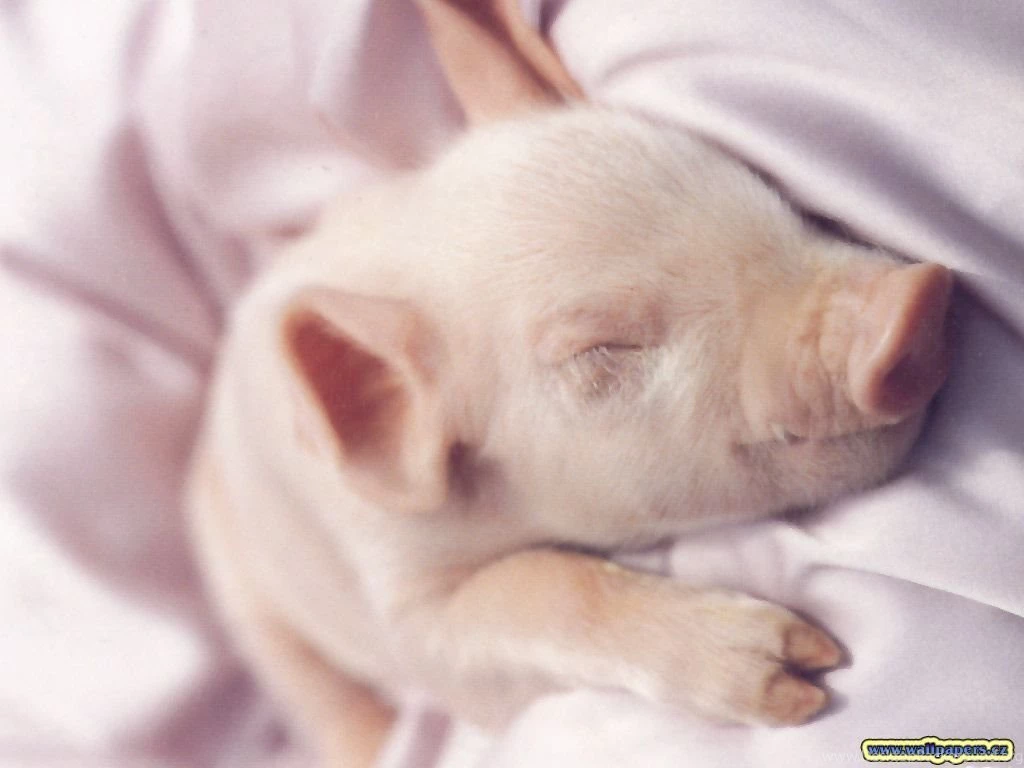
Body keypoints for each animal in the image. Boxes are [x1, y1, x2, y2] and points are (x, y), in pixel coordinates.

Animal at [185, 1, 953, 765]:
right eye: (603, 347)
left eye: (749, 185)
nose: (913, 304)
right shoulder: (392, 582)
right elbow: (525, 601)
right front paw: (802, 672)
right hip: (241, 584)